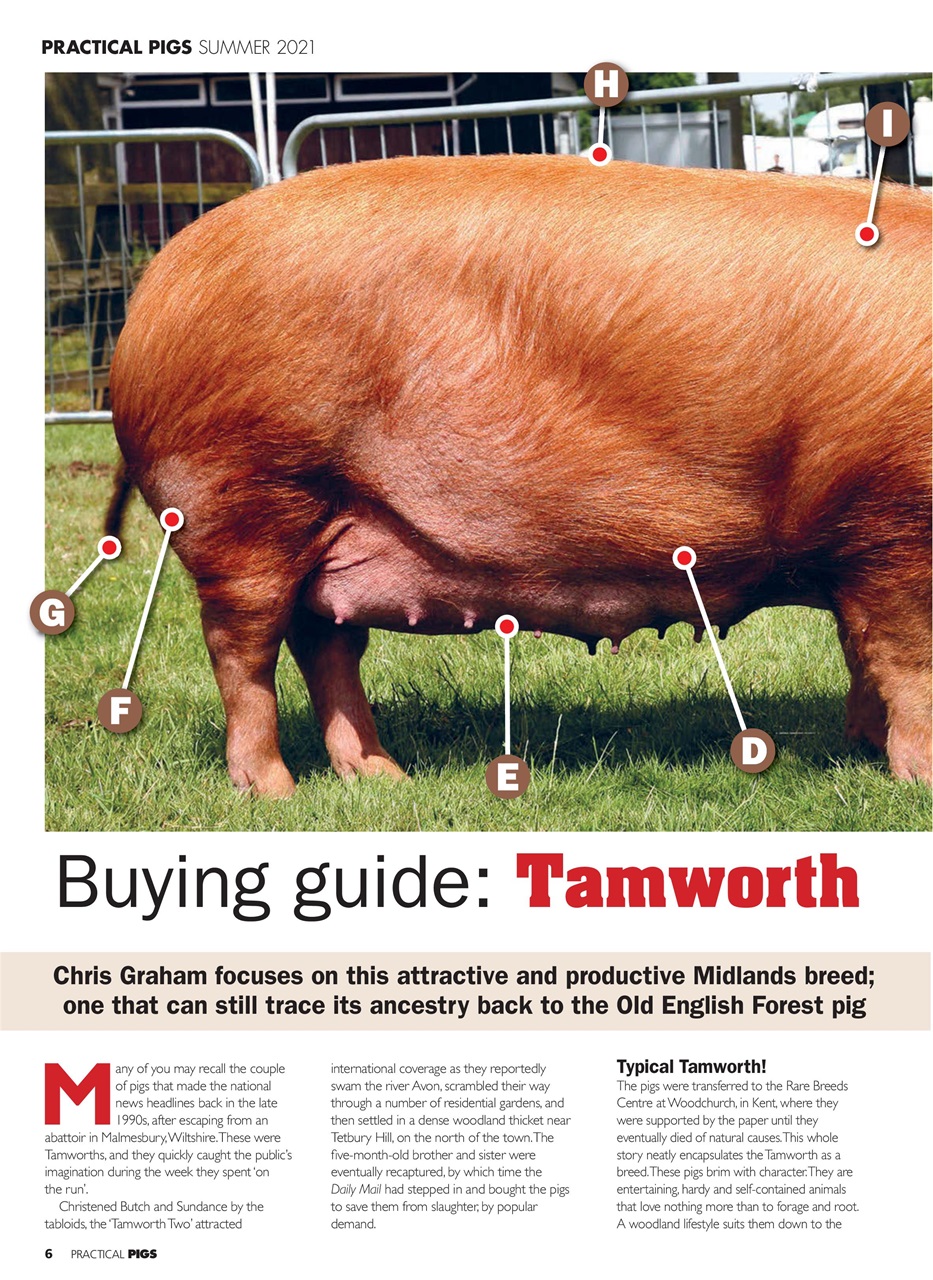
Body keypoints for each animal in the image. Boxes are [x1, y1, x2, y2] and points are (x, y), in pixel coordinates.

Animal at [107, 155, 932, 796]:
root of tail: (155, 286)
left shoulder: (859, 542)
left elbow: (864, 654)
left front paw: (863, 749)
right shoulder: (894, 528)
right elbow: (908, 660)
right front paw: (916, 781)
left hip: (333, 519)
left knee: (324, 641)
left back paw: (380, 776)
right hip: (246, 496)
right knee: (241, 647)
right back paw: (273, 791)